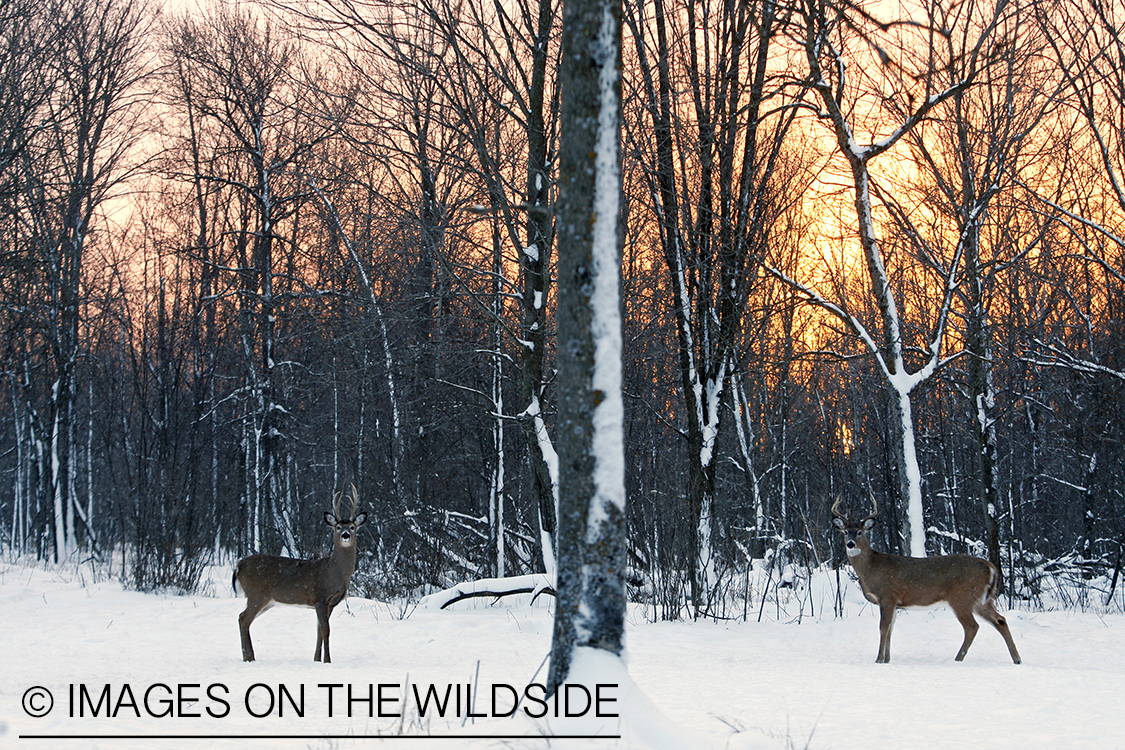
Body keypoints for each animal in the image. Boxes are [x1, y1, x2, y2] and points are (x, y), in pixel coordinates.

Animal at [234, 488, 369, 661]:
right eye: (338, 527)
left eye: (352, 527)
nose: (345, 535)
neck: (335, 572)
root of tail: (239, 565)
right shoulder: (320, 597)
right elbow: (326, 631)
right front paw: (327, 660)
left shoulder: (330, 604)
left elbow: (319, 632)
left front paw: (317, 659)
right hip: (256, 594)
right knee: (243, 619)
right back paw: (249, 657)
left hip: (266, 601)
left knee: (242, 618)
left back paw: (248, 657)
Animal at [832, 499, 1026, 661]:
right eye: (845, 532)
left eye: (859, 532)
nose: (850, 544)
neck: (871, 568)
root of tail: (991, 567)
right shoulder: (894, 603)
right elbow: (891, 629)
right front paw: (887, 659)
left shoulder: (888, 596)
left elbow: (883, 627)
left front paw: (879, 659)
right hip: (983, 600)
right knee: (1000, 621)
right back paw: (1017, 659)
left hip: (962, 597)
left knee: (972, 627)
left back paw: (958, 659)